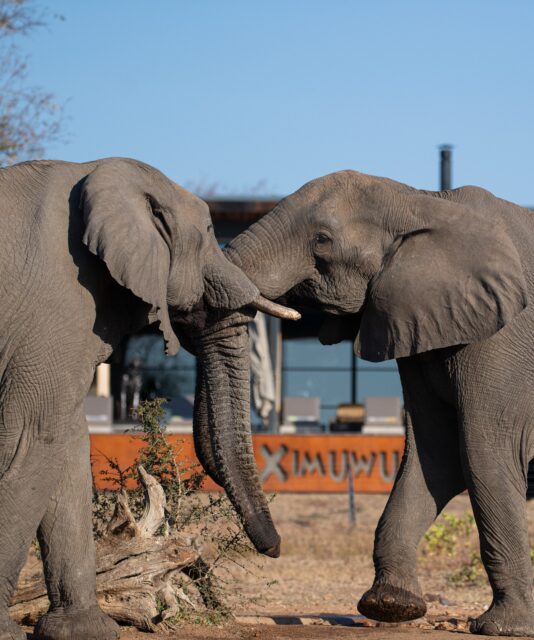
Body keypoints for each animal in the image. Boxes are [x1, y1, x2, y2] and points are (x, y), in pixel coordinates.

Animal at [0, 157, 297, 640]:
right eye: (210, 230)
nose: (274, 549)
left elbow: (64, 446)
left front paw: (84, 631)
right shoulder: (58, 302)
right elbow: (33, 436)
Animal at [195, 169, 534, 637]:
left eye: (321, 240)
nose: (276, 548)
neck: (424, 201)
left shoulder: (503, 338)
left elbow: (484, 453)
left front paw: (503, 628)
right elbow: (436, 453)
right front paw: (391, 606)